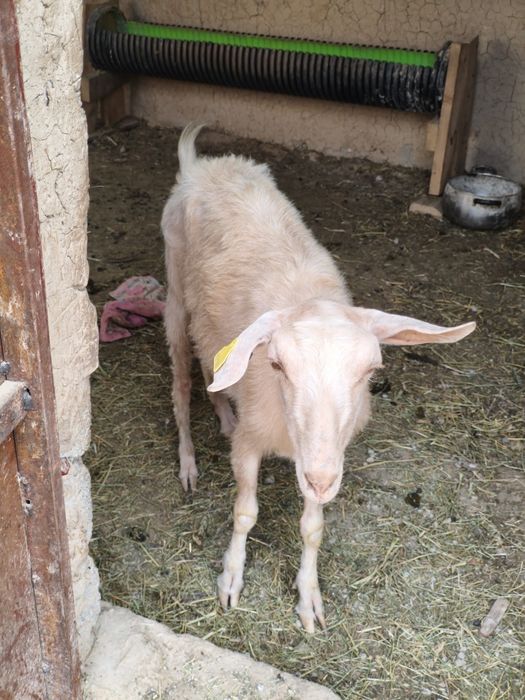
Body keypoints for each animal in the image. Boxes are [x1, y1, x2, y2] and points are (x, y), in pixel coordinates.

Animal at [162, 124, 475, 632]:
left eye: (371, 370)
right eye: (277, 365)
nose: (323, 479)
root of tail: (205, 164)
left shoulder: (325, 455)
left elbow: (313, 528)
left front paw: (309, 598)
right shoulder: (253, 444)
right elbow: (245, 513)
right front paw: (231, 578)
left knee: (212, 371)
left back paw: (224, 415)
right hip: (174, 294)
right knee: (182, 385)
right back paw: (188, 461)